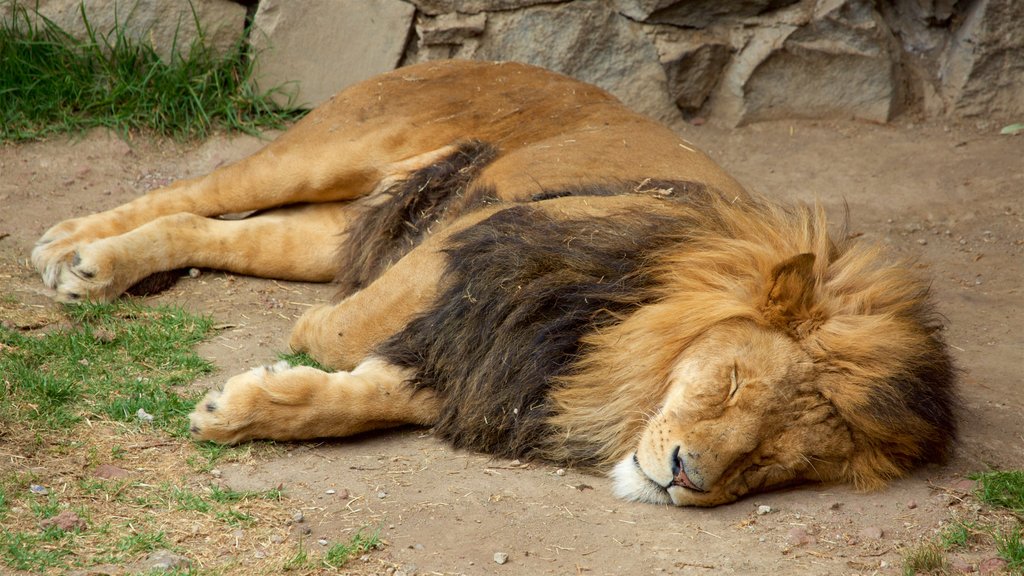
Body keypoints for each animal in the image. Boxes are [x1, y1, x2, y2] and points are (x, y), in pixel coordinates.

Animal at [34, 59, 958, 502]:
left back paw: (98, 264)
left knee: (209, 228)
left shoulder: (500, 366)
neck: (617, 348)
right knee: (196, 190)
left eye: (774, 460)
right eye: (732, 384)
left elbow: (360, 396)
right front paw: (286, 362)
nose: (687, 475)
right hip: (330, 149)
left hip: (332, 232)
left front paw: (246, 408)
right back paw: (72, 251)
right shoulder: (474, 246)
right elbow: (335, 333)